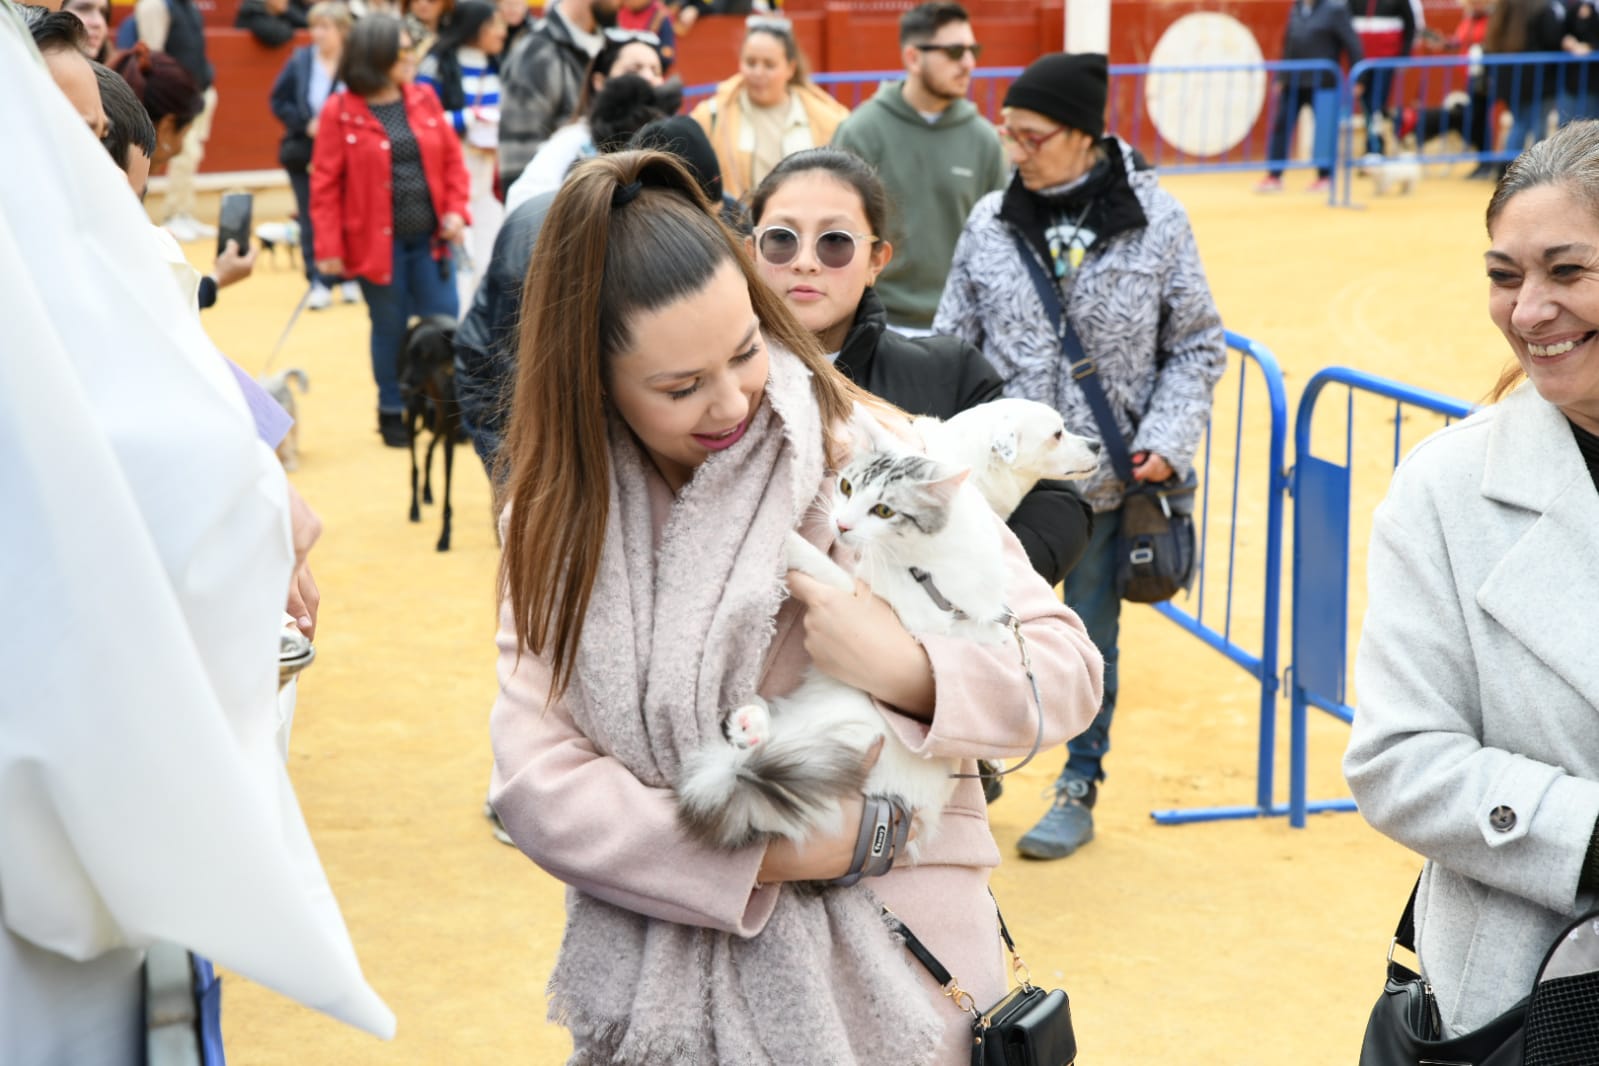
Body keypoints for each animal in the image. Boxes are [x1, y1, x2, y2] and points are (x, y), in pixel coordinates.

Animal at [398, 314, 463, 549]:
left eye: (427, 355)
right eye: (411, 354)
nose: (403, 388)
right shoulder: (451, 435)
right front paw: (444, 537)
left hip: (439, 422)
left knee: (427, 452)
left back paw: (426, 492)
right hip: (415, 414)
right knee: (415, 465)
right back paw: (414, 508)